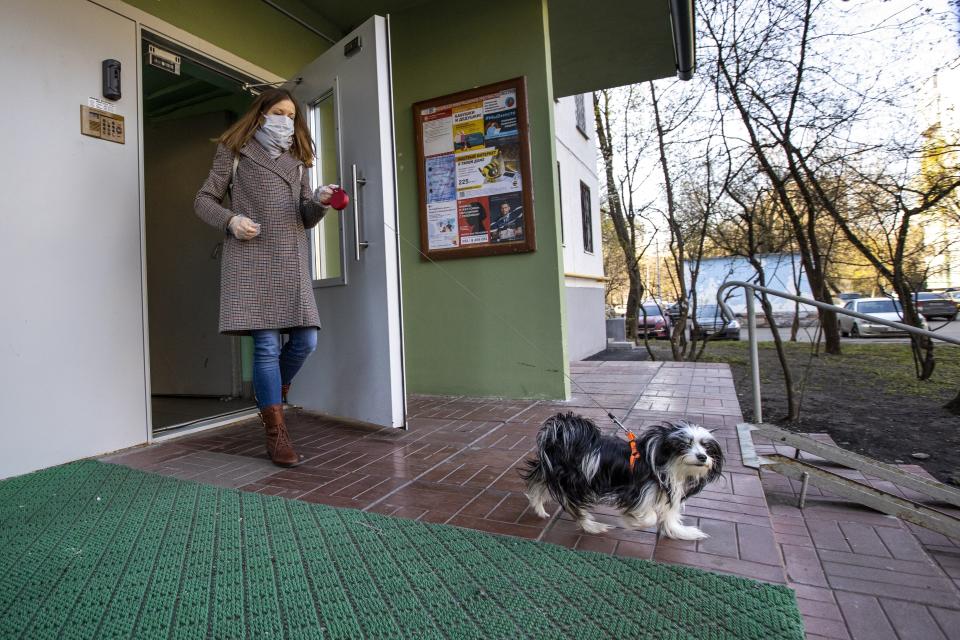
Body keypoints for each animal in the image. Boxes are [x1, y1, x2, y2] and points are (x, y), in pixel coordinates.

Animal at [520, 410, 724, 540]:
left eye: (707, 447)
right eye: (684, 445)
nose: (702, 457)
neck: (668, 465)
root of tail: (561, 434)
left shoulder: (669, 493)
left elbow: (669, 517)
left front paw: (682, 533)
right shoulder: (636, 492)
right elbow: (650, 517)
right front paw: (630, 521)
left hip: (554, 473)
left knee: (537, 483)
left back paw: (538, 507)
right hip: (578, 485)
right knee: (574, 507)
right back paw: (592, 527)